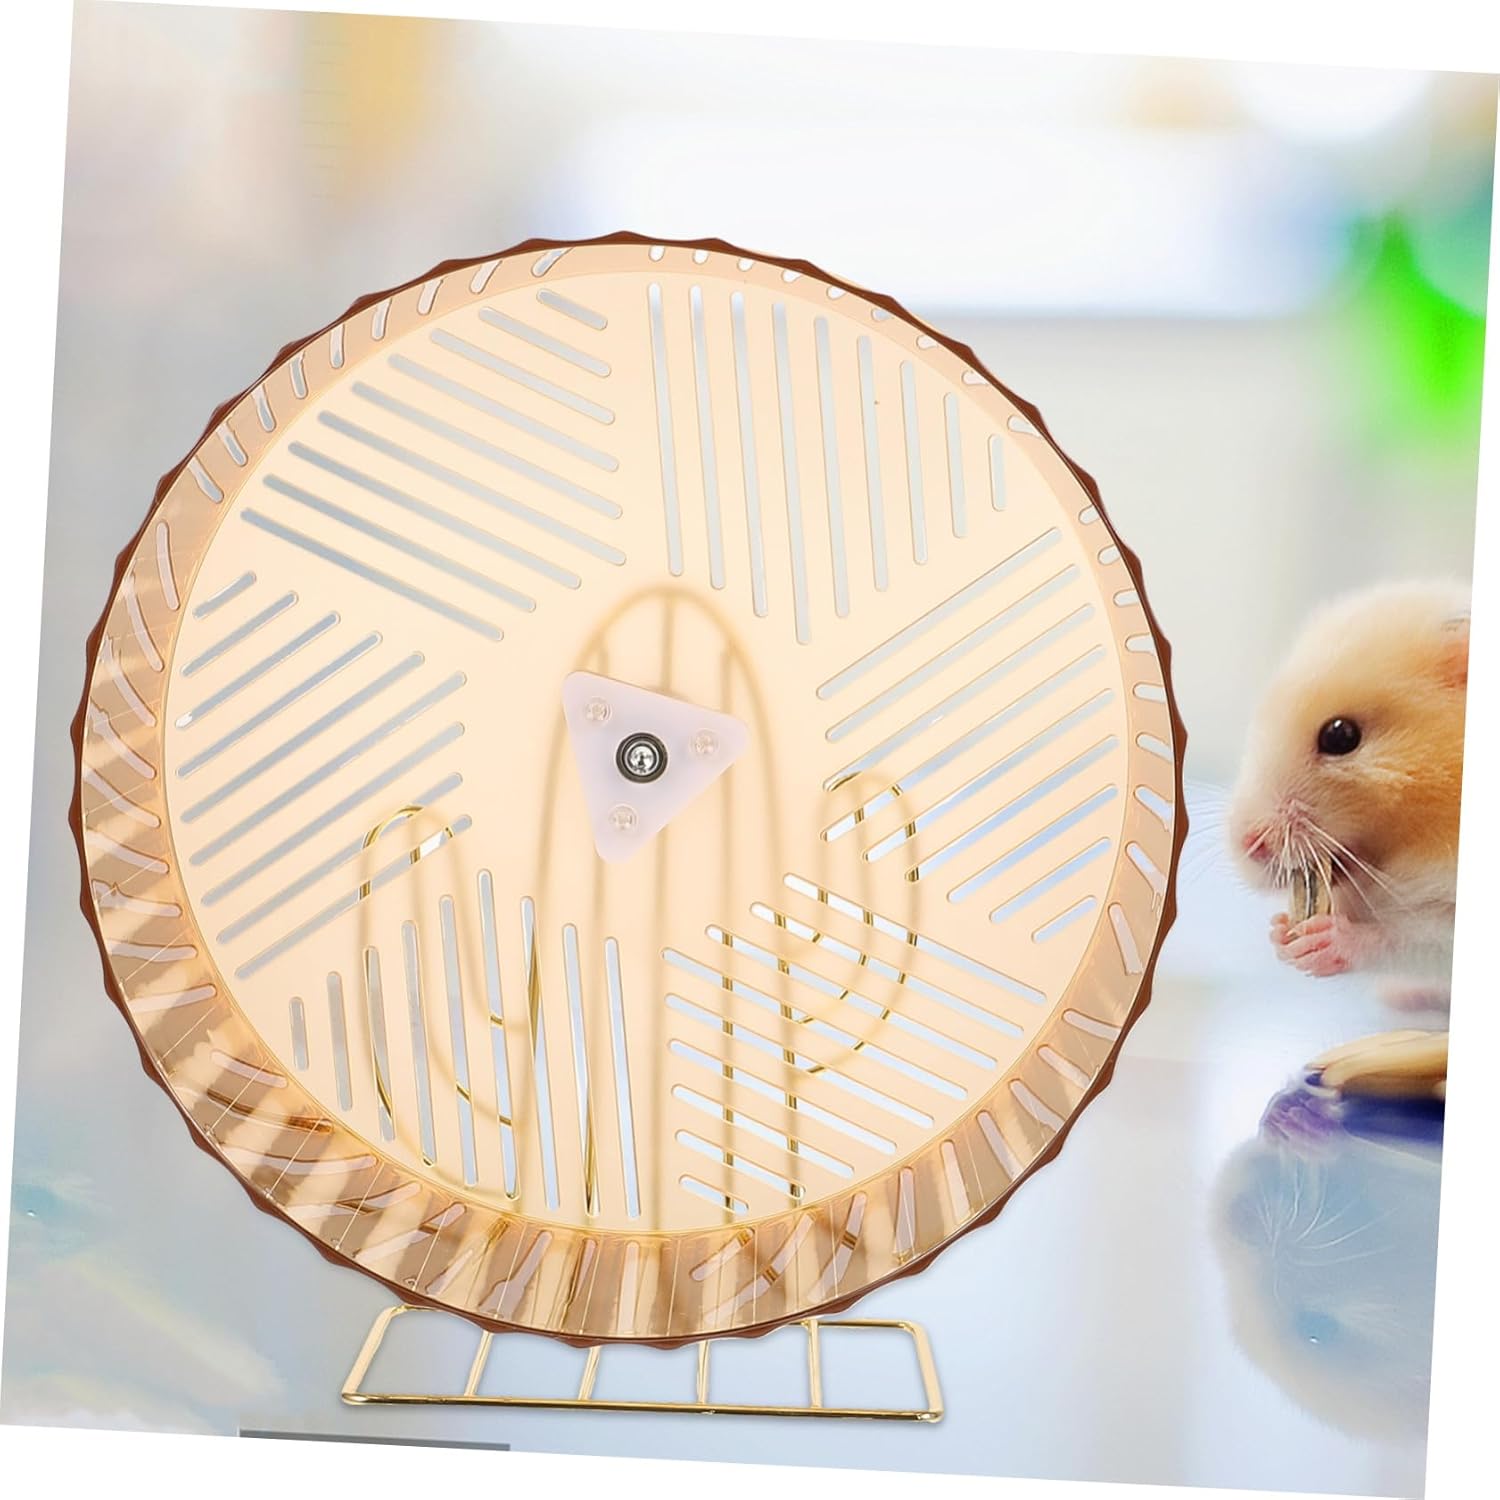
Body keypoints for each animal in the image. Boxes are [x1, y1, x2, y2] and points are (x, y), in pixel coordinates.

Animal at [1228, 579, 1469, 983]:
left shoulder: (1444, 929)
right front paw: (1279, 932)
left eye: (1340, 736)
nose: (1249, 845)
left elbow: (1415, 938)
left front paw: (1321, 943)